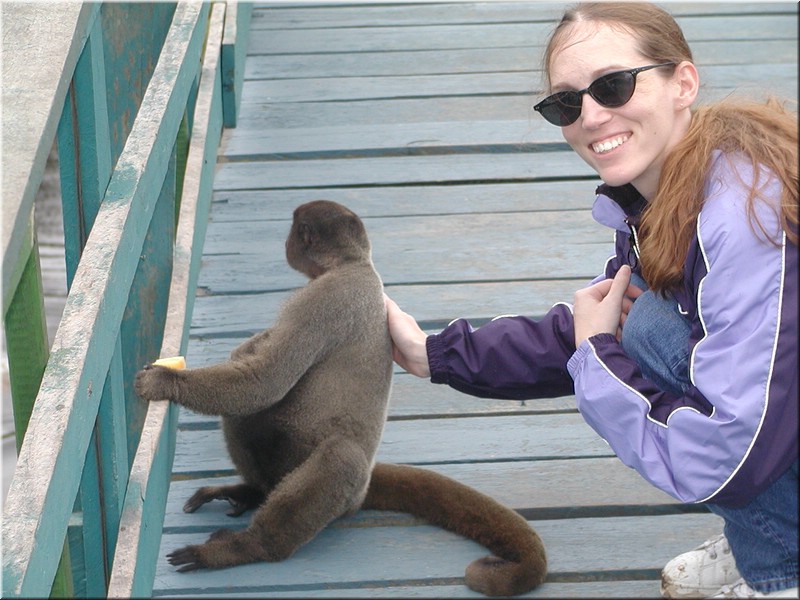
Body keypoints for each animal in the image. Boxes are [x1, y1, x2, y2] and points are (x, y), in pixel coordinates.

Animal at [134, 200, 547, 597]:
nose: (285, 243)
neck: (354, 263)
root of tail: (362, 492)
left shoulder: (319, 299)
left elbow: (263, 380)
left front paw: (165, 381)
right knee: (248, 416)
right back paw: (254, 492)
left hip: (331, 484)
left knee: (337, 455)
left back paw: (248, 548)